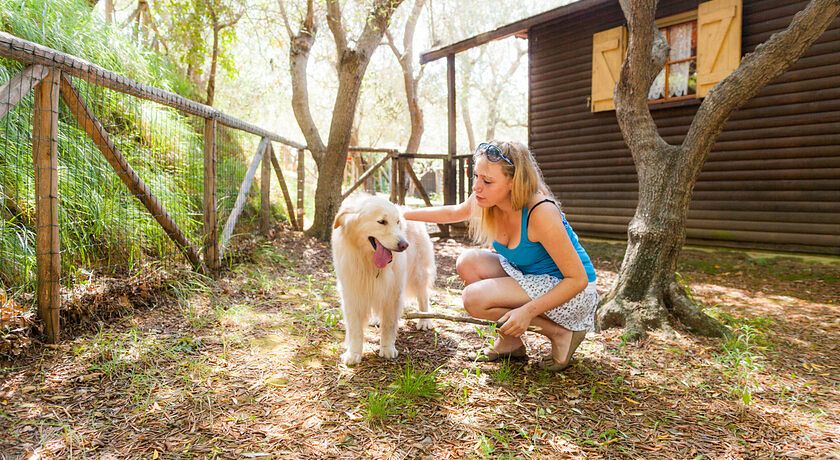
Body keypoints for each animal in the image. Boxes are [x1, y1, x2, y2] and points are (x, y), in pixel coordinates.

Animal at [330, 196, 434, 364]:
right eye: (381, 221)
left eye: (397, 222)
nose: (404, 245)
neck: (368, 260)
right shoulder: (352, 293)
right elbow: (355, 329)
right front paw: (353, 354)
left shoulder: (393, 293)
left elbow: (389, 326)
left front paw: (387, 349)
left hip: (418, 274)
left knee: (423, 296)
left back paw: (424, 320)